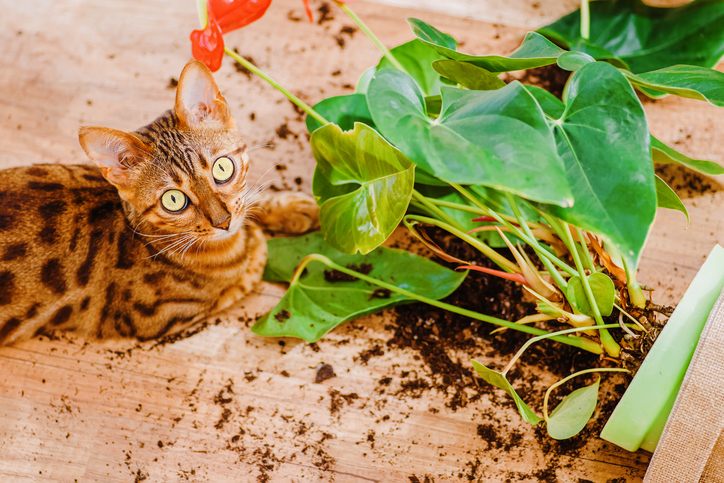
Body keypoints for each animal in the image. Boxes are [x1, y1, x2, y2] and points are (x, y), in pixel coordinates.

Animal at [0, 60, 320, 346]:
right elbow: (249, 266)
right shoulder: (157, 317)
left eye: (222, 168)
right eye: (173, 200)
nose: (223, 222)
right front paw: (256, 242)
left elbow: (250, 201)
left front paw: (293, 209)